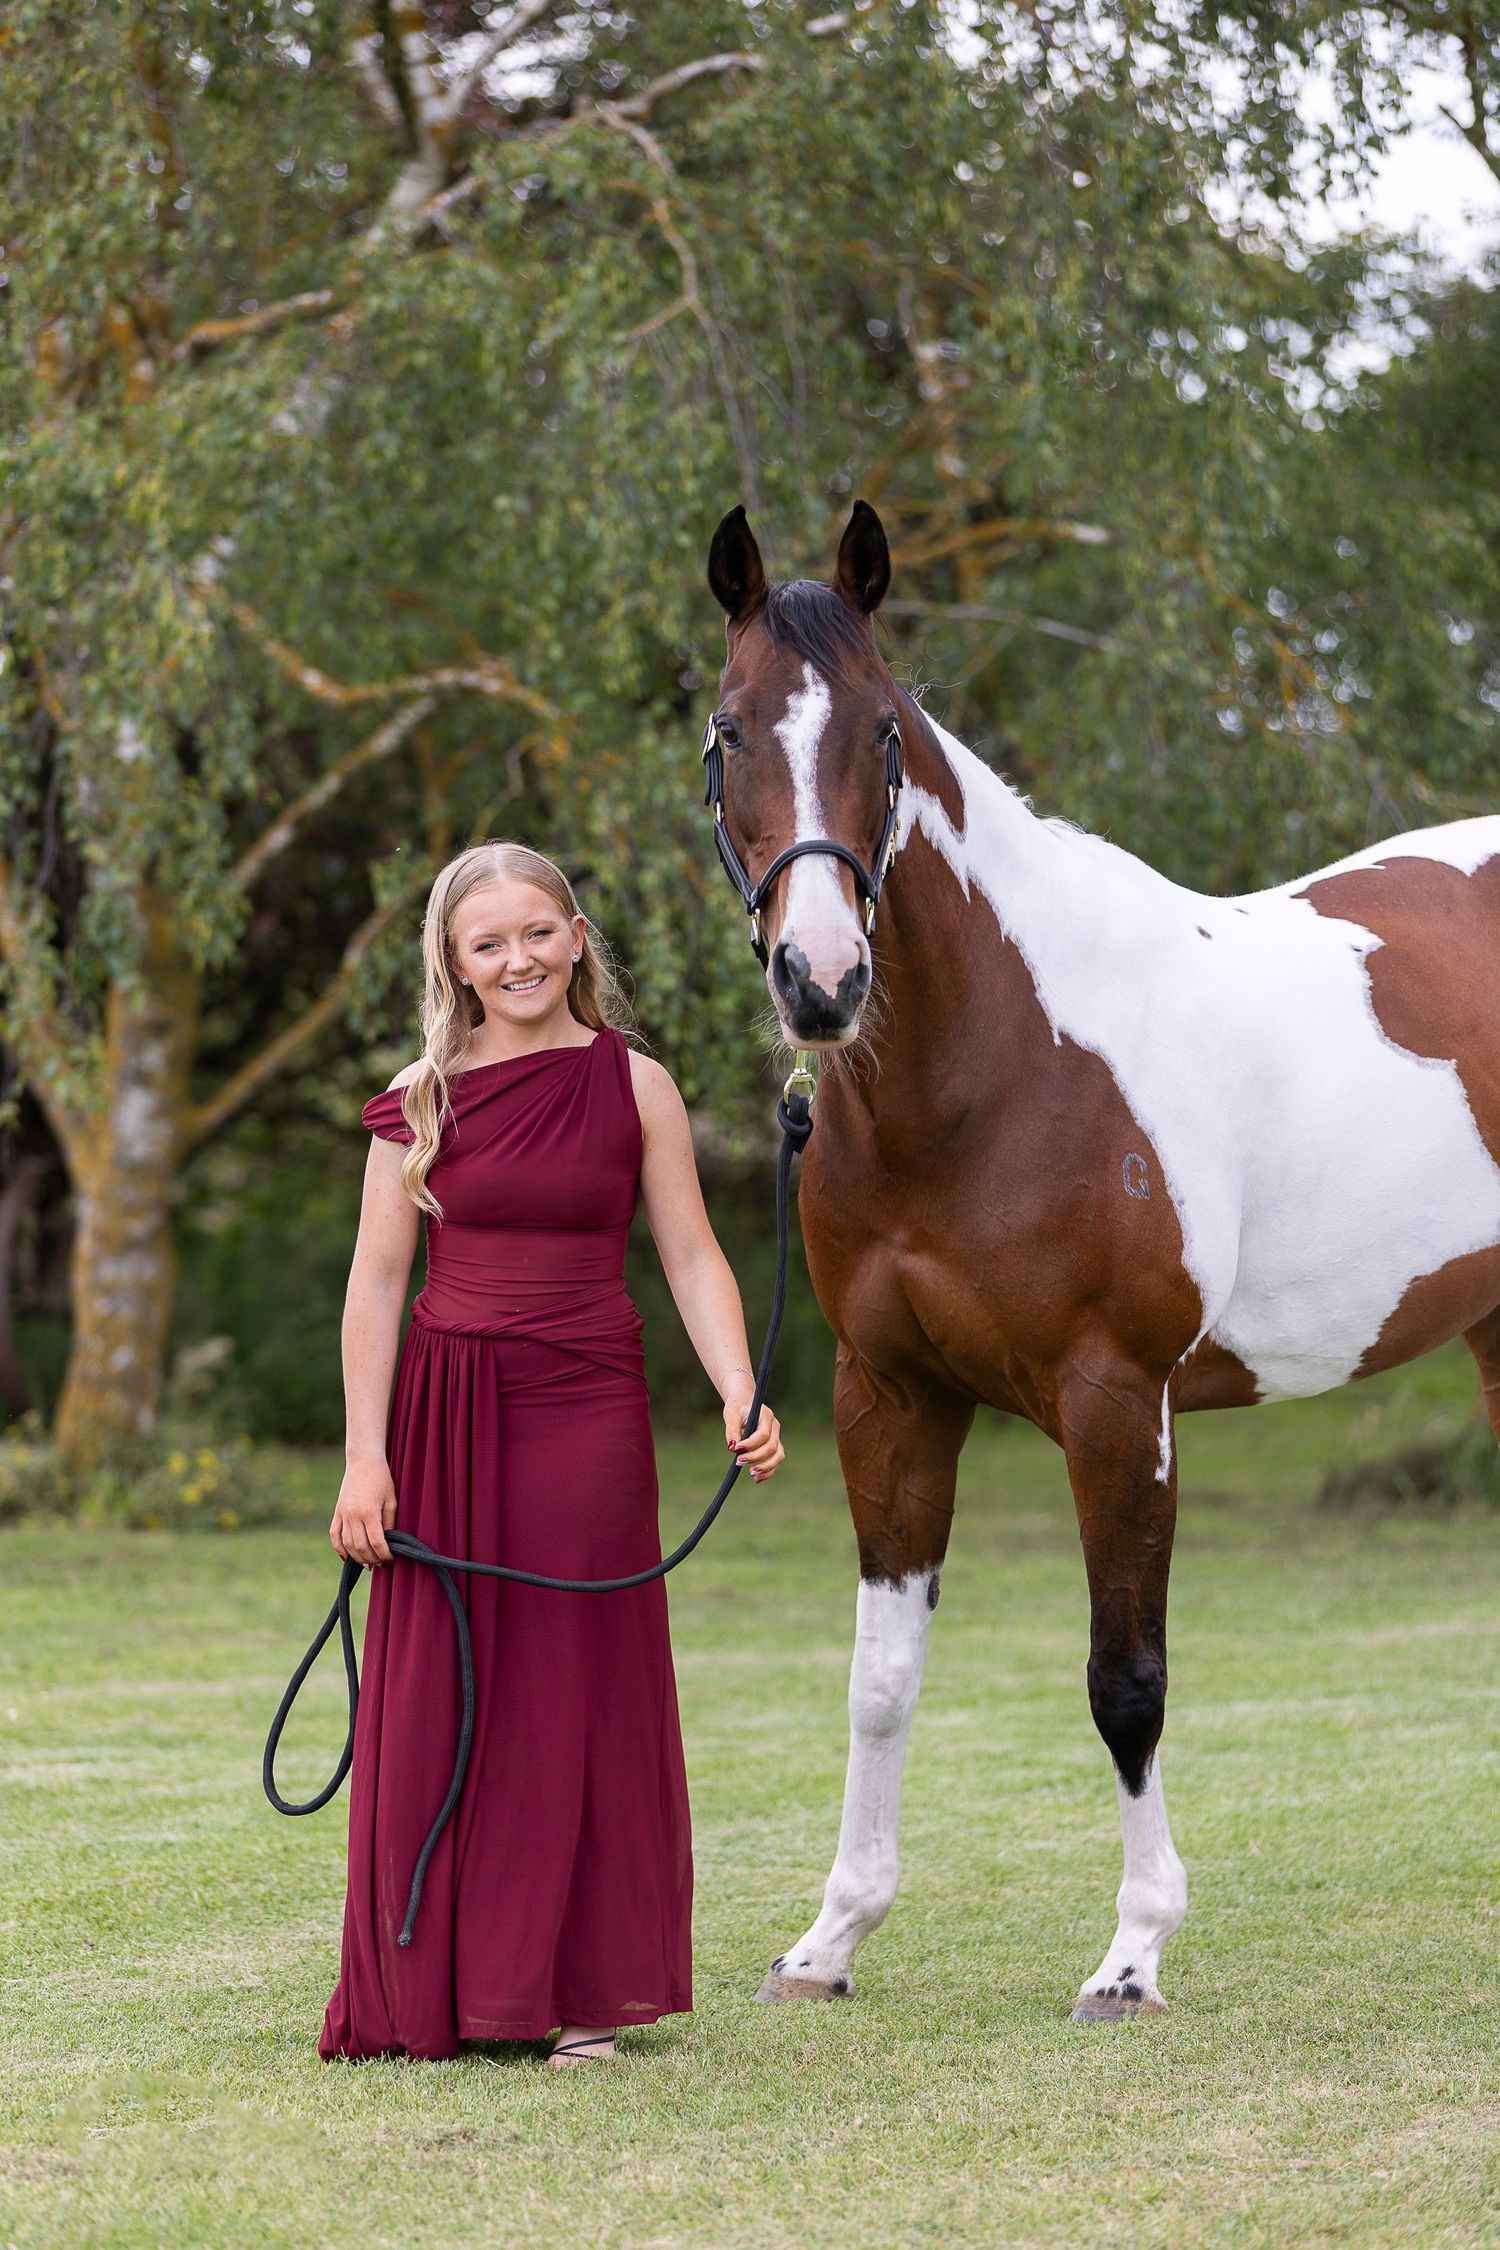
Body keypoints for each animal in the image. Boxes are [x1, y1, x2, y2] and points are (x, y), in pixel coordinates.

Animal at [702, 498, 1500, 2020]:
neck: (998, 1068)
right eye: (727, 730)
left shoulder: (1117, 1400)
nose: (821, 980)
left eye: (884, 734)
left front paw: (1132, 1954)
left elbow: (1126, 1678)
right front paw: (829, 1940)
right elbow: (880, 1682)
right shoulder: (889, 1397)